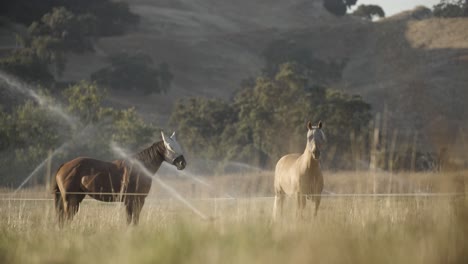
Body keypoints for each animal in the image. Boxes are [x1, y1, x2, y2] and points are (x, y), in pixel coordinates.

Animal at [53, 131, 186, 226]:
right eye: (170, 147)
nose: (183, 163)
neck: (139, 168)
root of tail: (64, 165)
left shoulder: (138, 201)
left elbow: (134, 221)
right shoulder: (132, 201)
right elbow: (130, 220)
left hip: (77, 198)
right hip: (69, 199)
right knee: (65, 218)